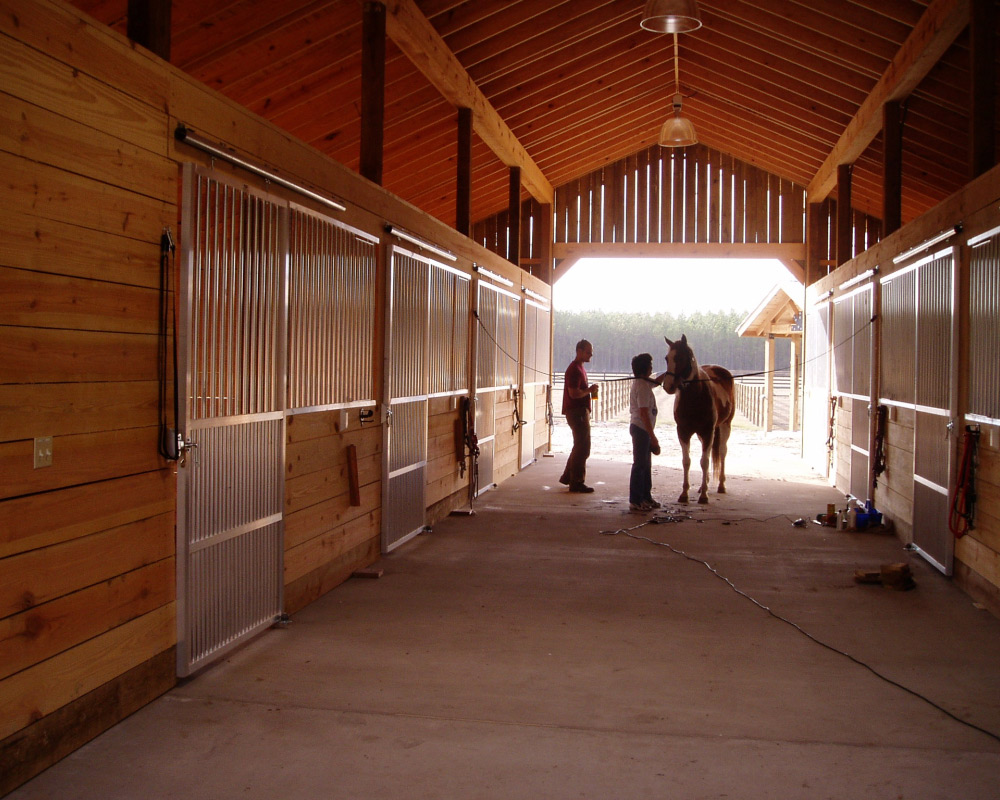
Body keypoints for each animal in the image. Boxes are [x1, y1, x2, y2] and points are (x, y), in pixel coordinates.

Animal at [664, 334, 736, 504]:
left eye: (681, 357)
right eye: (667, 358)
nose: (668, 386)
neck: (695, 397)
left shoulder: (708, 431)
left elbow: (704, 462)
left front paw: (704, 496)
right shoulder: (683, 432)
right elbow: (687, 461)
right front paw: (685, 493)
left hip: (725, 426)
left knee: (722, 452)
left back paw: (720, 485)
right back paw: (704, 485)